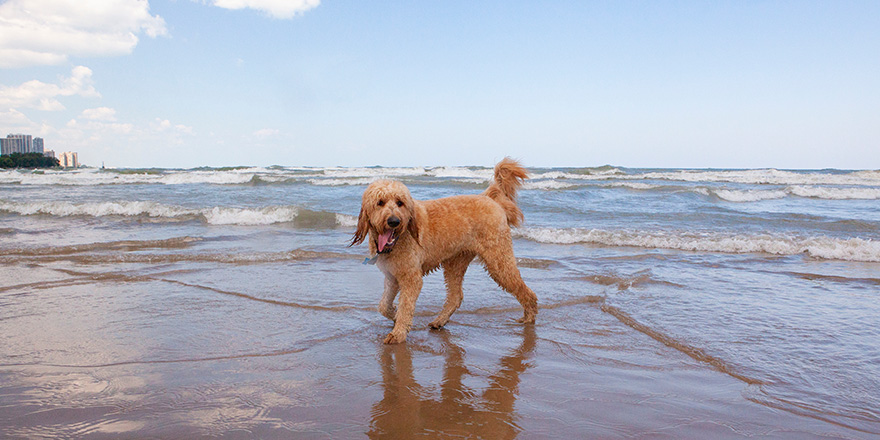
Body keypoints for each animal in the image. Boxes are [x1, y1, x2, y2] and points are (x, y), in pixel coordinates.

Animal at [350, 158, 536, 344]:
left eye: (399, 202)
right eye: (380, 202)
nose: (394, 221)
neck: (398, 240)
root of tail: (489, 199)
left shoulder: (411, 278)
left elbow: (405, 306)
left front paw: (398, 333)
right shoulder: (392, 276)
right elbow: (383, 306)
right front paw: (395, 317)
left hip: (498, 261)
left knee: (524, 289)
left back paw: (529, 316)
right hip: (455, 263)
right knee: (456, 296)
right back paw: (439, 321)